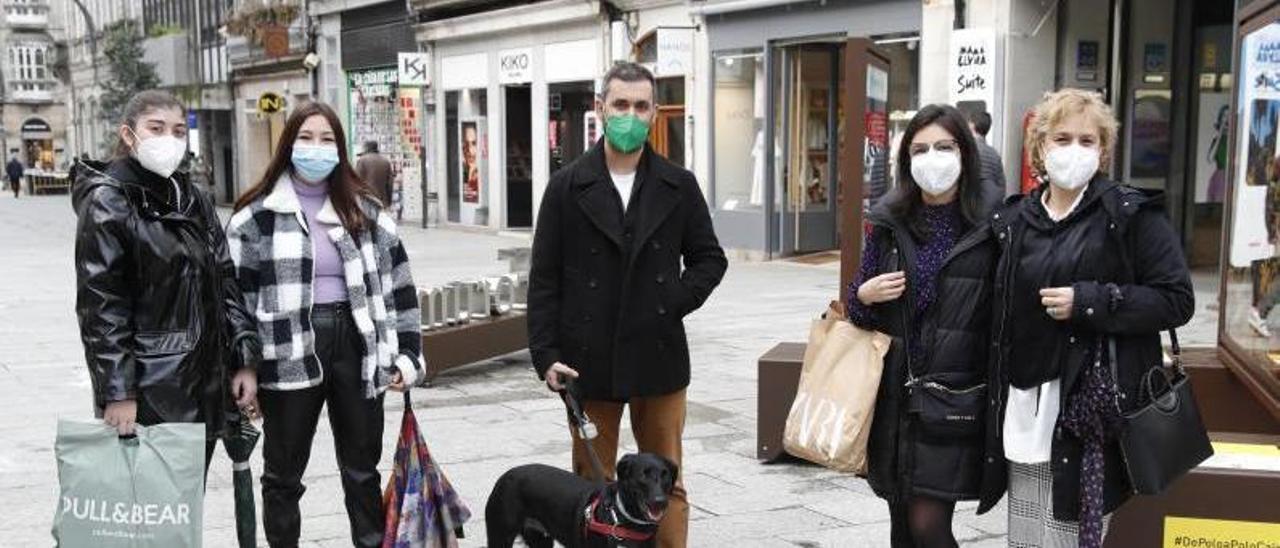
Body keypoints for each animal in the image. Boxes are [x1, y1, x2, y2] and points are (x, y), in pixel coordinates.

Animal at [481, 453, 680, 548]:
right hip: (500, 536)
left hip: (541, 541)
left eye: (666, 475)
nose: (660, 501)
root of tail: (505, 476)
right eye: (642, 476)